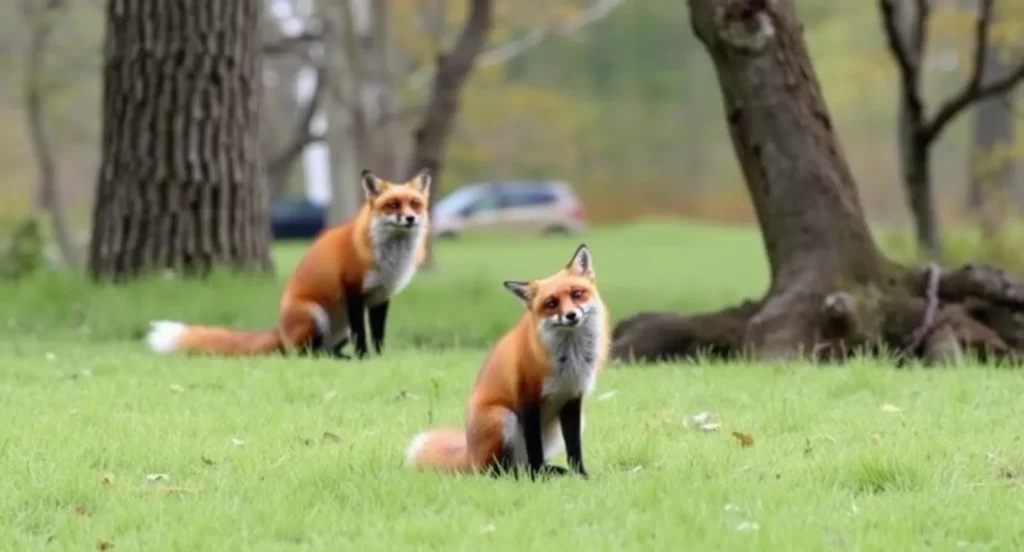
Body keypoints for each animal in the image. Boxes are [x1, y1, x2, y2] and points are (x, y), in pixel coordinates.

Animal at [145, 168, 432, 359]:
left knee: (324, 350)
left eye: (415, 204)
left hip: (338, 329)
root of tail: (279, 330)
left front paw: (379, 357)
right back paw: (337, 358)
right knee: (303, 353)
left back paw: (341, 356)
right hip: (315, 315)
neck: (391, 259)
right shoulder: (353, 291)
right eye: (392, 204)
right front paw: (364, 357)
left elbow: (378, 334)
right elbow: (362, 334)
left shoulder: (381, 296)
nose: (410, 218)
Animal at [405, 244, 609, 480]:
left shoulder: (572, 398)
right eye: (551, 303)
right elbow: (535, 448)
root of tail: (470, 454)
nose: (571, 315)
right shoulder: (528, 398)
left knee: (518, 465)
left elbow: (574, 448)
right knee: (496, 470)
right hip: (503, 418)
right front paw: (538, 477)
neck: (569, 360)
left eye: (577, 294)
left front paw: (581, 475)